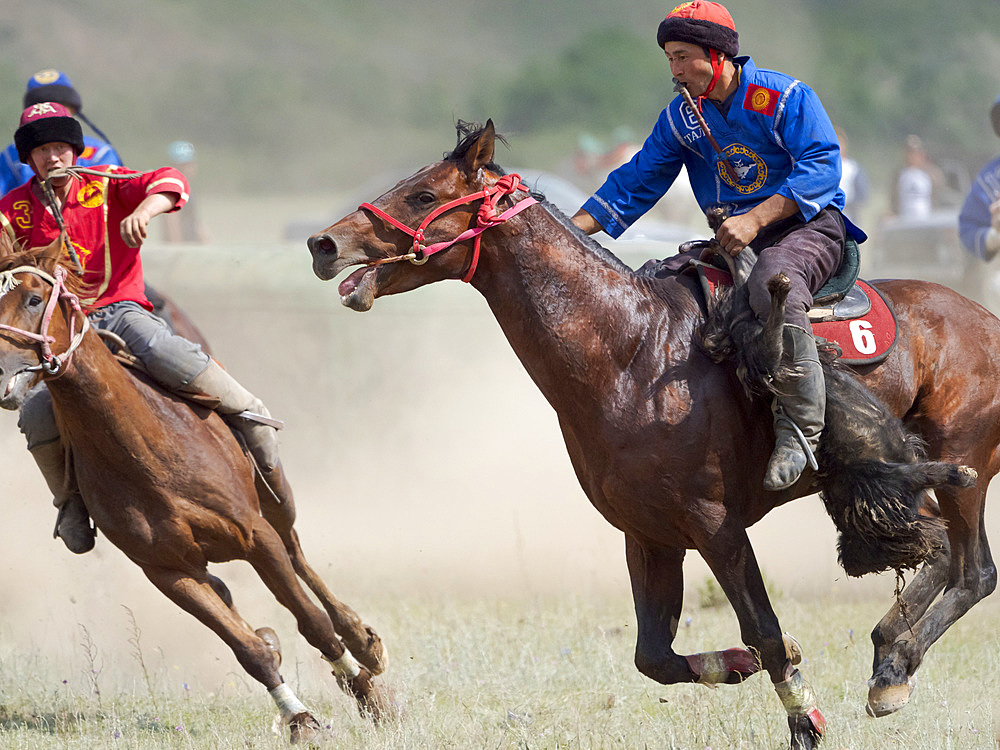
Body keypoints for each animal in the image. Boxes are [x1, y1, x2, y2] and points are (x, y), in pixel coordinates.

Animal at [0, 238, 394, 744]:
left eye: (33, 299)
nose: (2, 372)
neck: (145, 448)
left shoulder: (256, 537)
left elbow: (313, 622)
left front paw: (365, 694)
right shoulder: (169, 572)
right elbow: (249, 651)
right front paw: (299, 718)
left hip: (275, 501)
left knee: (299, 557)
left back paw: (362, 641)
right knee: (231, 593)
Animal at [308, 120, 996, 748]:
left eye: (423, 194)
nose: (323, 243)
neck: (633, 350)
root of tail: (983, 317)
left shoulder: (716, 525)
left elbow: (767, 631)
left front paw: (805, 718)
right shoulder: (649, 534)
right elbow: (656, 658)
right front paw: (737, 666)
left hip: (960, 463)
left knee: (970, 568)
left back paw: (894, 665)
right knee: (943, 551)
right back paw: (891, 658)